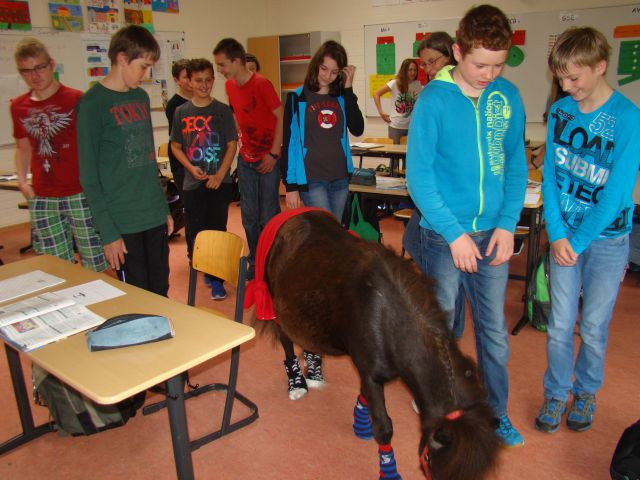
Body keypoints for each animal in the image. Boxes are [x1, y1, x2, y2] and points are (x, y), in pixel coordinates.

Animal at [255, 211, 500, 480]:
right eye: (433, 464)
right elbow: (384, 428)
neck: (390, 315)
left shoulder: (370, 371)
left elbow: (365, 397)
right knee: (287, 340)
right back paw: (297, 383)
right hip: (277, 307)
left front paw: (360, 420)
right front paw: (388, 469)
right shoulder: (370, 371)